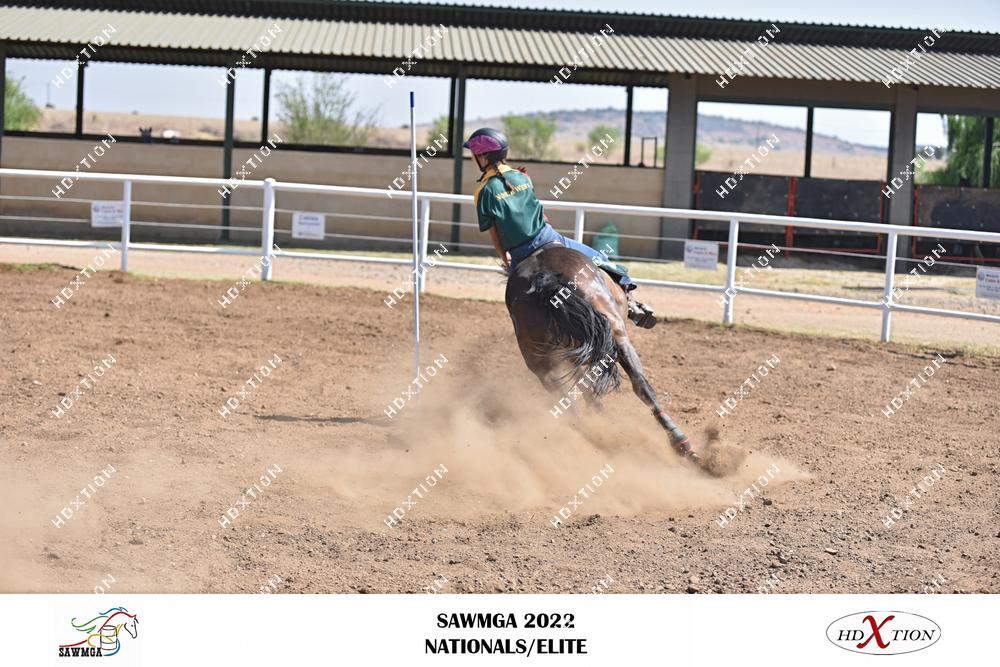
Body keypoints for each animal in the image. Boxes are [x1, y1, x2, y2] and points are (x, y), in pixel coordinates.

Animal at [505, 245, 705, 466]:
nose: (644, 315)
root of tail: (544, 277)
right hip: (616, 333)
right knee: (641, 385)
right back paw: (681, 443)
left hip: (544, 364)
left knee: (569, 405)